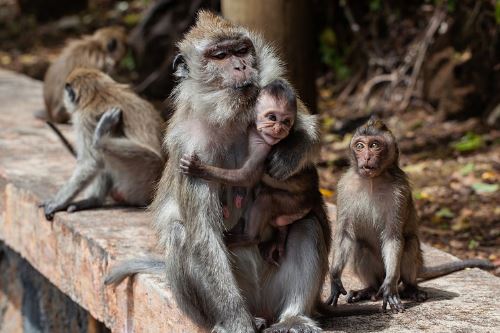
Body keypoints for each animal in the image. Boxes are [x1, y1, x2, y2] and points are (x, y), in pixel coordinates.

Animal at [182, 78, 316, 262]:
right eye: (272, 117)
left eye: (286, 121)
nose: (279, 129)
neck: (255, 132)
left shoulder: (264, 148)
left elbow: (246, 176)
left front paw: (199, 169)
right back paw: (281, 236)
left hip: (295, 204)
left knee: (266, 199)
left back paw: (250, 238)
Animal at [326, 116, 494, 312]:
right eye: (359, 146)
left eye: (375, 145)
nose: (366, 157)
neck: (373, 180)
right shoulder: (344, 187)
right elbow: (345, 234)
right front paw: (335, 279)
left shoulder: (400, 190)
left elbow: (393, 236)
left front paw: (389, 286)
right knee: (361, 245)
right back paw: (370, 289)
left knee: (410, 243)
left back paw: (410, 288)